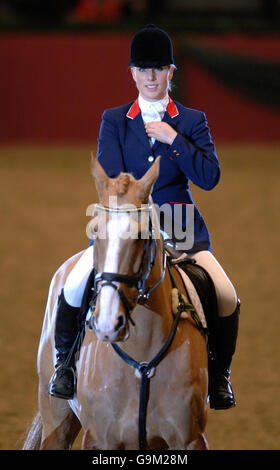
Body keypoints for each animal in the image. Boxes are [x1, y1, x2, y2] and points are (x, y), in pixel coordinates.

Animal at [23, 156, 209, 450]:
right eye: (94, 229)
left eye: (142, 236)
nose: (108, 324)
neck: (142, 361)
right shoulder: (99, 439)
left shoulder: (189, 438)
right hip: (55, 417)